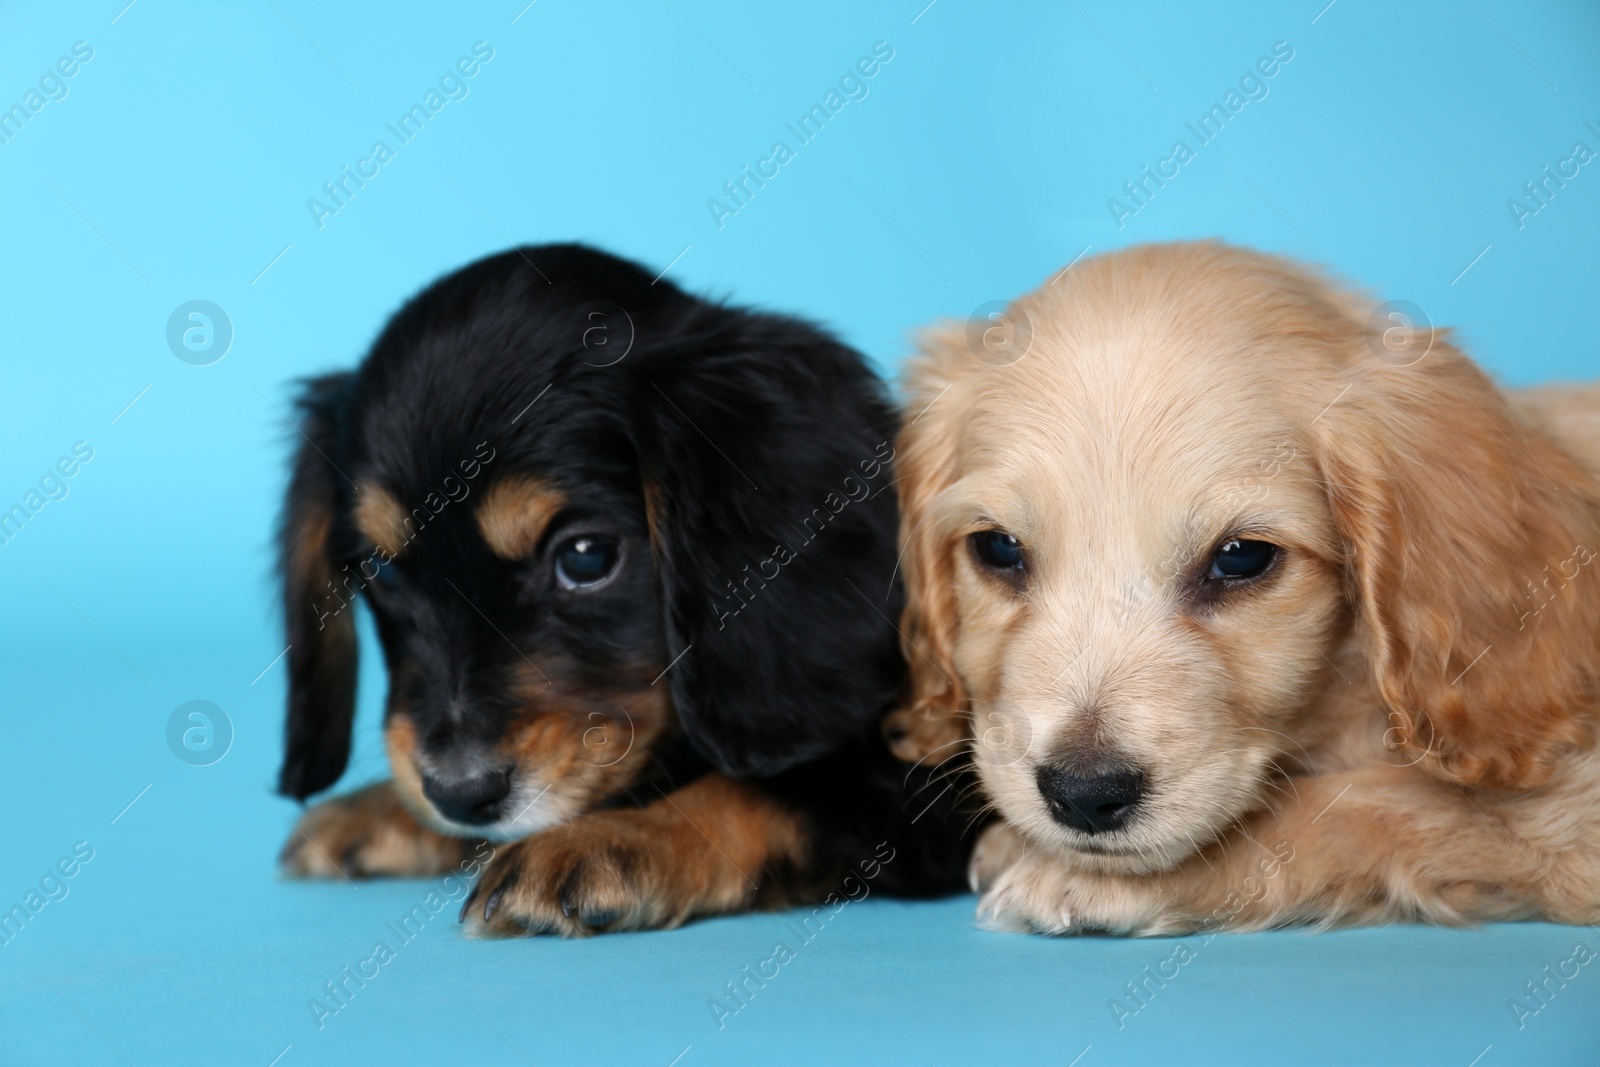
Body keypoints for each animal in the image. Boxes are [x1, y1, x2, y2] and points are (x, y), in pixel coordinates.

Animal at [275, 241, 966, 934]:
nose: (459, 793)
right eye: (383, 571)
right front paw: (379, 807)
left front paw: (614, 839)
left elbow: (770, 788)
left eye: (587, 558)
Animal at [889, 241, 1600, 934]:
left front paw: (1080, 878)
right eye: (998, 548)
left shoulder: (1563, 806)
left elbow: (1363, 803)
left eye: (1241, 558)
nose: (1084, 795)